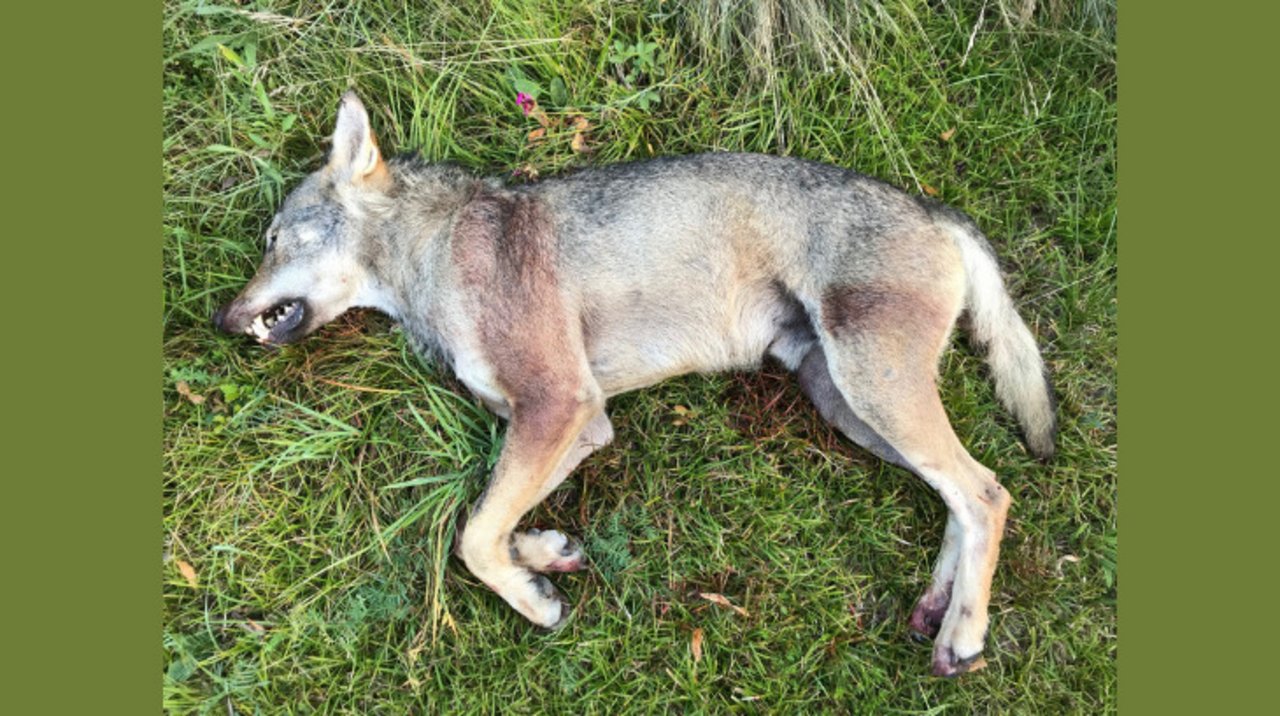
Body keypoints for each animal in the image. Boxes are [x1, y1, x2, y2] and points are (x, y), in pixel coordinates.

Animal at [215, 90, 1054, 676]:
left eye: (273, 239)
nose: (223, 320)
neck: (435, 250)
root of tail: (936, 211)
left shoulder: (557, 405)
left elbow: (473, 538)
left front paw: (535, 601)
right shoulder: (579, 425)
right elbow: (489, 523)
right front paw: (548, 553)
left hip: (874, 391)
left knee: (986, 492)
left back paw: (965, 634)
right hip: (853, 407)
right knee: (963, 496)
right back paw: (939, 609)